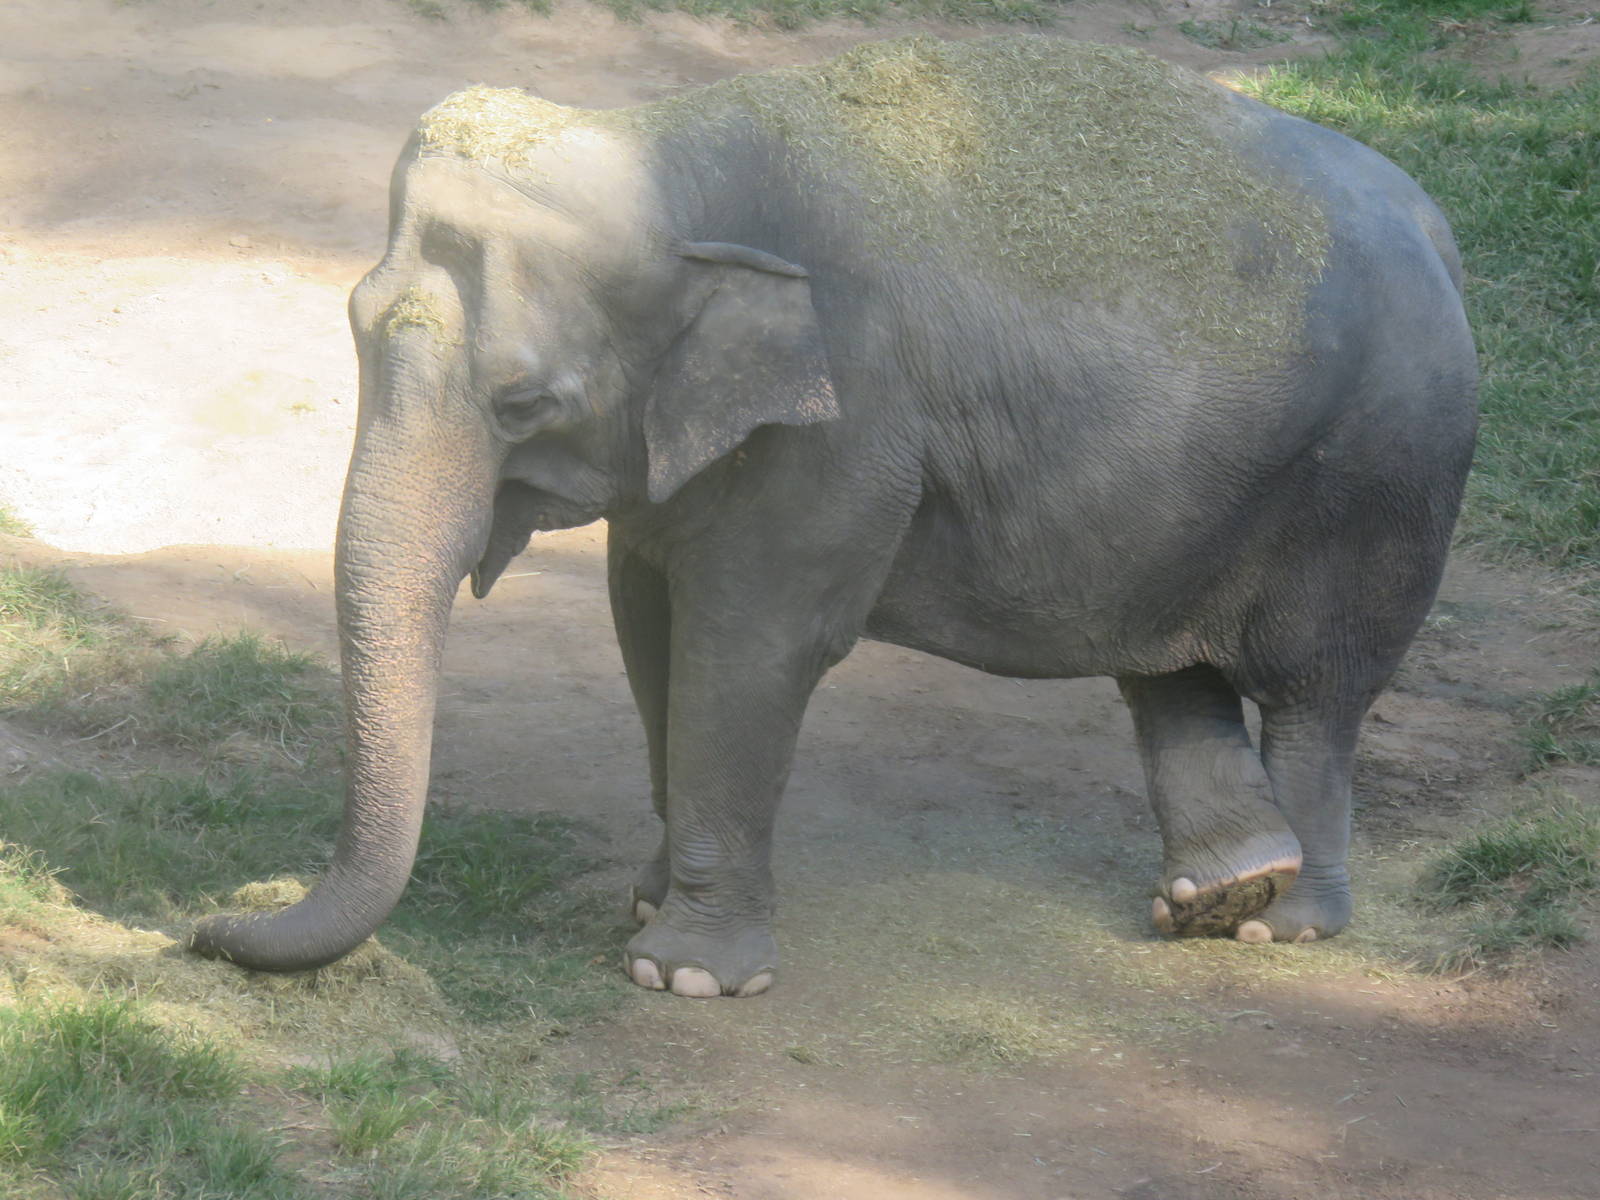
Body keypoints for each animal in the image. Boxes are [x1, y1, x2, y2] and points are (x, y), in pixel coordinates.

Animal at [190, 36, 1478, 999]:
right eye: (354, 327)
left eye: (523, 403)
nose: (211, 926)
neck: (668, 151)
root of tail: (1437, 222)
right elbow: (647, 623)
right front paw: (652, 901)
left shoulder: (843, 424)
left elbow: (747, 649)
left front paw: (682, 975)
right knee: (1168, 671)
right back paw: (1221, 894)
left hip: (1377, 479)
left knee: (1315, 691)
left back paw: (1281, 924)